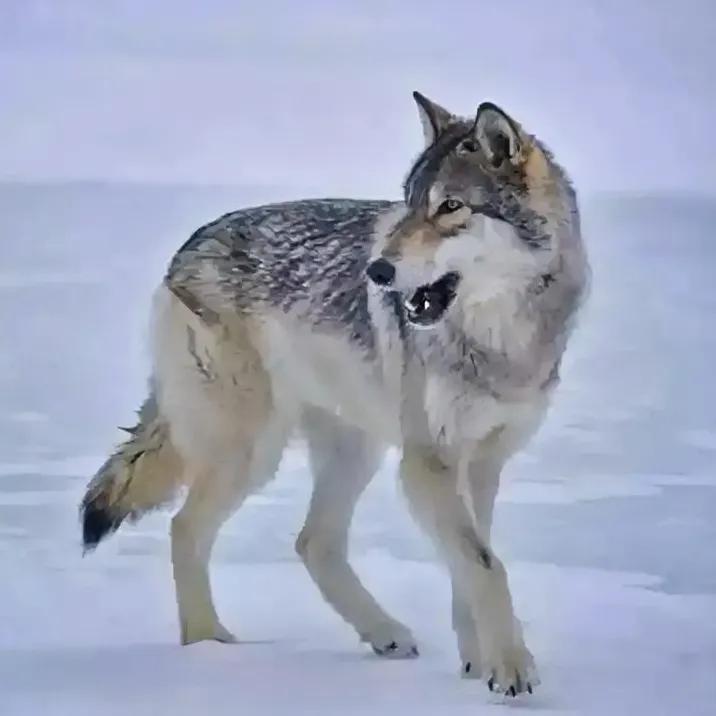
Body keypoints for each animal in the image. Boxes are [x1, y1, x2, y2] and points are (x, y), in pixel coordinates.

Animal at [82, 92, 588, 696]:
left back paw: (384, 633)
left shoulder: (484, 461)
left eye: (450, 207)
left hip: (353, 448)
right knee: (186, 527)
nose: (378, 271)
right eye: (409, 203)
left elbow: (471, 563)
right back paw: (209, 647)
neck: (499, 342)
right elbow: (486, 565)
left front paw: (478, 662)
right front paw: (511, 668)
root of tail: (184, 252)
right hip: (254, 452)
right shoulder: (428, 461)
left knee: (312, 541)